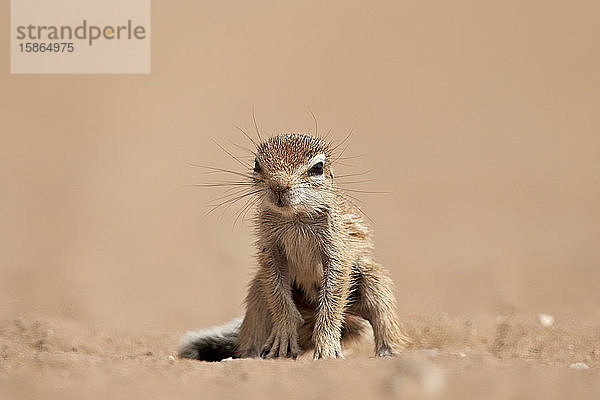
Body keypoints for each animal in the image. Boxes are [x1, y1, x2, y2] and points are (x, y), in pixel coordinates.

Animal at [180, 133, 410, 360]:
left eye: (317, 167)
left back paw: (389, 352)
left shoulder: (336, 245)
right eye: (256, 164)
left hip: (372, 281)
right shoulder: (270, 247)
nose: (278, 186)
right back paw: (248, 355)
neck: (294, 218)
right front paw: (284, 334)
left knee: (382, 316)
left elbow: (333, 297)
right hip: (258, 289)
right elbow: (278, 295)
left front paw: (327, 347)